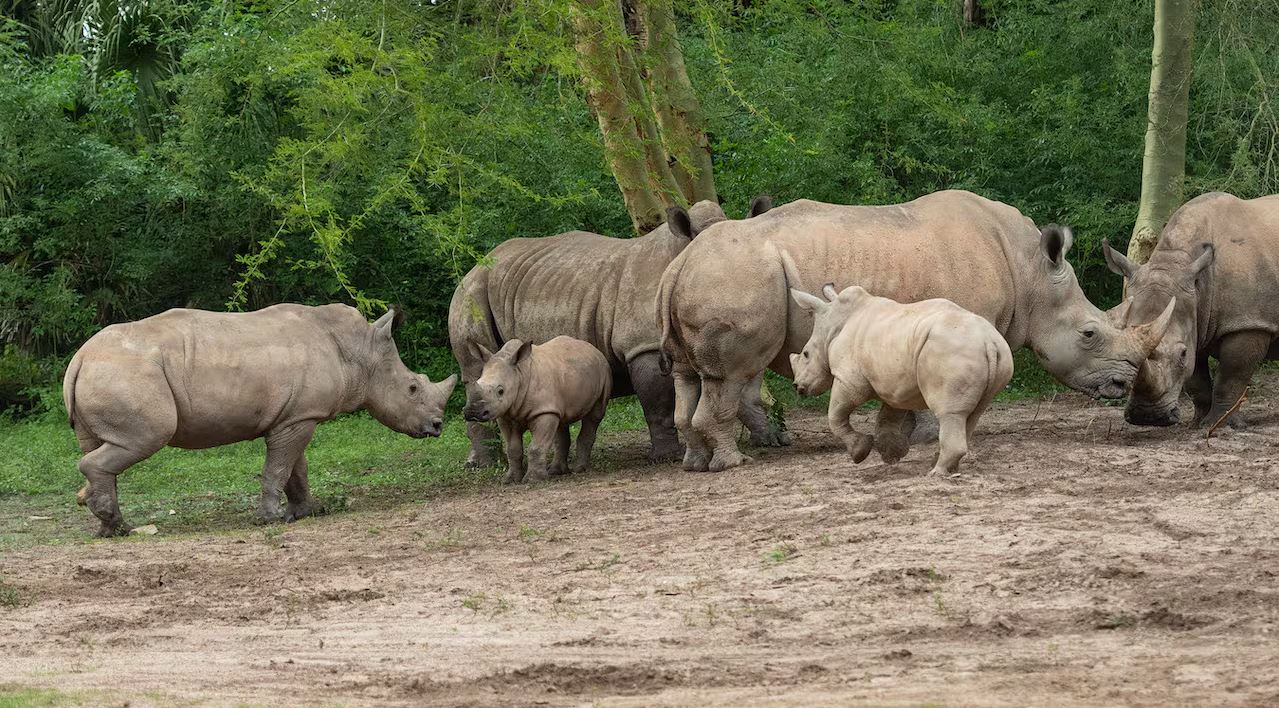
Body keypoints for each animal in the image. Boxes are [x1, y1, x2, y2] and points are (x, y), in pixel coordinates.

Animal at [63, 304, 456, 537]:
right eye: (412, 388)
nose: (437, 426)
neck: (359, 352)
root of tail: (79, 358)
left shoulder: (297, 415)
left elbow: (297, 469)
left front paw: (309, 512)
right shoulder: (299, 418)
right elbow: (279, 468)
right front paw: (271, 518)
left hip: (107, 373)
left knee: (102, 446)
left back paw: (110, 528)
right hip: (126, 375)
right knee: (143, 439)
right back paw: (120, 527)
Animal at [449, 197, 776, 468]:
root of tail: (475, 265)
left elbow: (740, 389)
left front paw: (771, 439)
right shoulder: (643, 345)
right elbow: (659, 404)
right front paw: (667, 457)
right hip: (471, 293)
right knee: (475, 367)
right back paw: (484, 466)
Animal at [462, 336, 611, 484]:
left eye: (500, 391)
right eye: (476, 383)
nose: (472, 413)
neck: (519, 374)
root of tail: (592, 348)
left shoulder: (542, 411)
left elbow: (536, 447)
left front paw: (533, 480)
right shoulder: (505, 415)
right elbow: (512, 449)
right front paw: (510, 480)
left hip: (603, 371)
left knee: (593, 417)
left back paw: (579, 470)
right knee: (560, 419)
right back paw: (555, 471)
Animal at [789, 283, 1014, 476]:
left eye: (806, 354)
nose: (798, 387)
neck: (832, 326)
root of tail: (989, 341)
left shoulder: (849, 379)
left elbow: (835, 415)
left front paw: (859, 453)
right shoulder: (895, 384)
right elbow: (888, 415)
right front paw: (892, 454)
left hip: (952, 350)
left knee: (950, 412)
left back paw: (936, 473)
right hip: (998, 355)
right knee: (974, 413)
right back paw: (946, 466)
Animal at [1104, 191, 1279, 427]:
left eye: (1182, 353)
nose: (1146, 417)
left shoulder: (1248, 323)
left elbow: (1231, 377)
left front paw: (1218, 425)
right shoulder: (1196, 322)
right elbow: (1197, 381)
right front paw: (1197, 423)